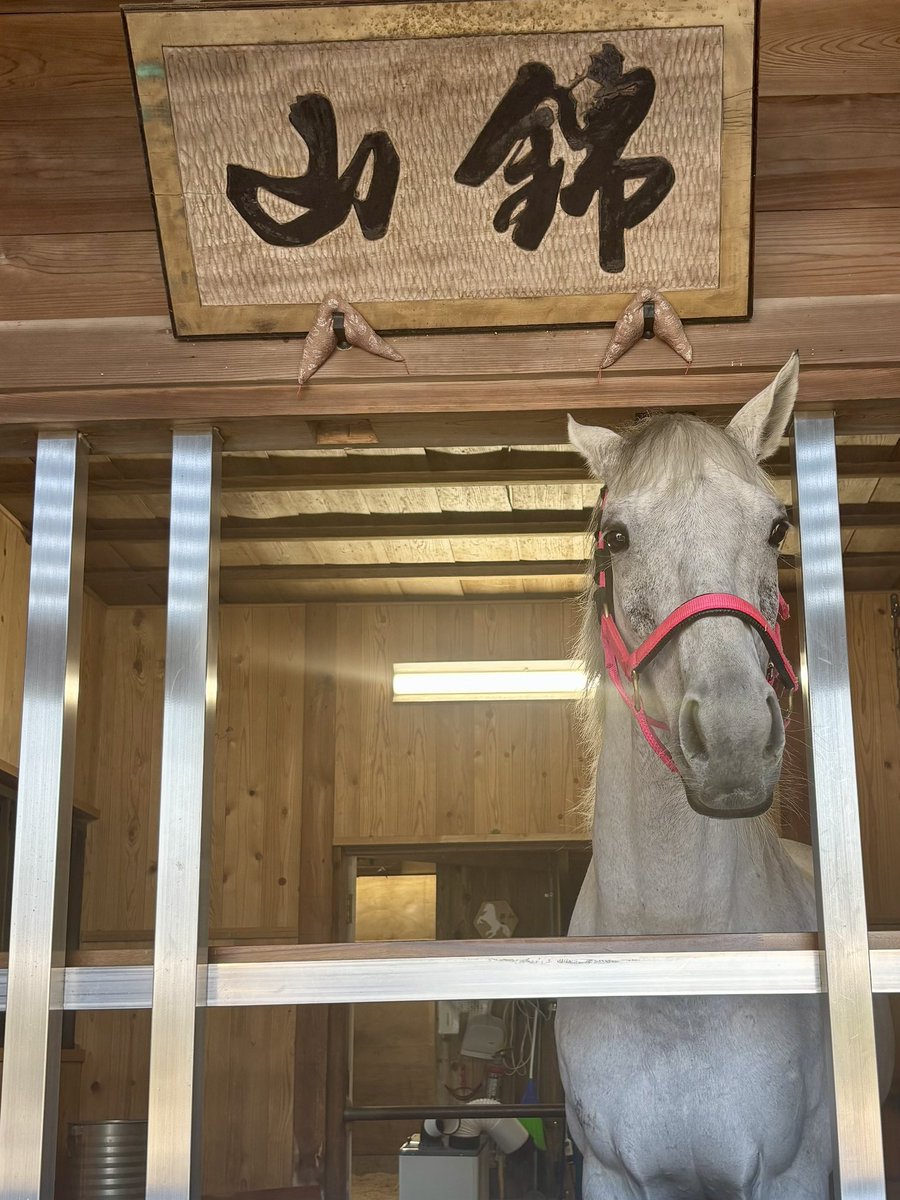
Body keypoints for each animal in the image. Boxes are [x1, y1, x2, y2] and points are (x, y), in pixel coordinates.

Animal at [555, 355, 894, 1199]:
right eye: (617, 536)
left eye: (775, 526)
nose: (737, 738)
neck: (677, 971)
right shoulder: (610, 1174)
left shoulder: (793, 1170)